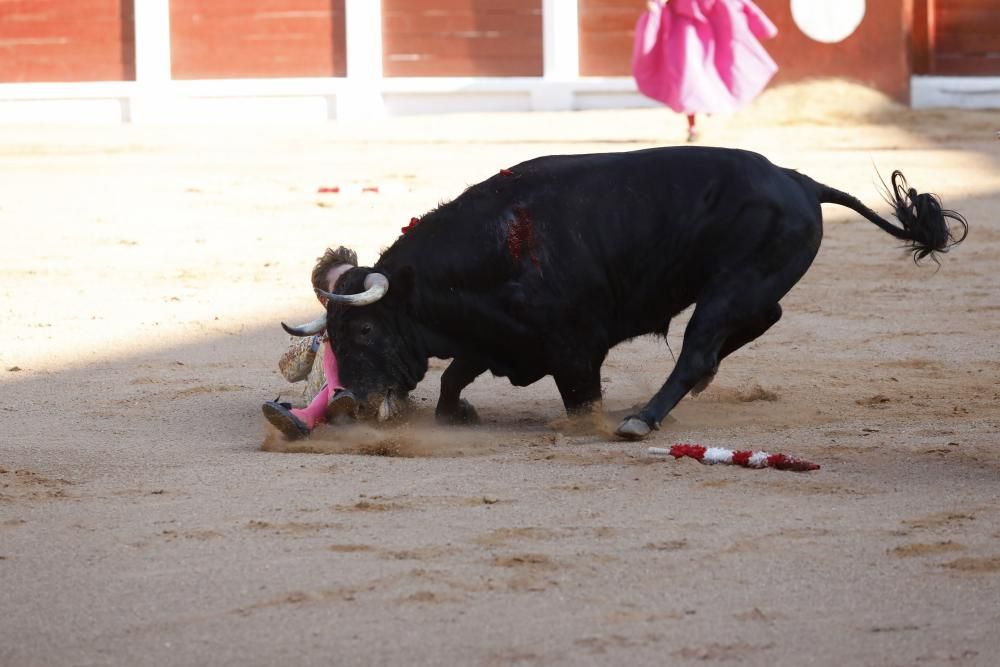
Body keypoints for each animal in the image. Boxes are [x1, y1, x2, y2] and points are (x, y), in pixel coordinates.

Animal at [284, 146, 968, 438]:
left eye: (364, 329)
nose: (350, 401)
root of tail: (800, 179)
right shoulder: (497, 338)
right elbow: (455, 376)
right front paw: (457, 413)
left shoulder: (572, 350)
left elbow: (578, 397)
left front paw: (588, 423)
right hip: (746, 285)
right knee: (762, 318)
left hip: (730, 286)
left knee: (698, 347)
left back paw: (643, 418)